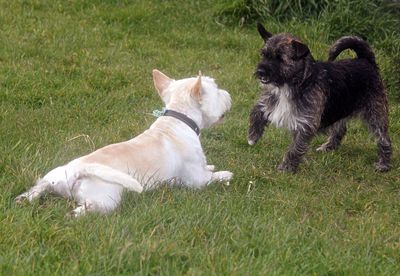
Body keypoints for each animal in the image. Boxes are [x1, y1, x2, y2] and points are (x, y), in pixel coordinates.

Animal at [15, 70, 233, 217]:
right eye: (217, 90)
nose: (228, 94)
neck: (179, 119)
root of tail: (77, 172)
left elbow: (207, 166)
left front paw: (212, 166)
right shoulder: (196, 180)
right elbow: (212, 177)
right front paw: (224, 174)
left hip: (53, 176)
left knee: (39, 187)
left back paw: (24, 199)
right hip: (105, 199)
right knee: (84, 210)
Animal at [248, 22, 392, 172]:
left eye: (280, 58)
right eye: (263, 55)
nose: (260, 71)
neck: (291, 84)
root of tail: (366, 60)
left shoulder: (306, 124)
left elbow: (295, 148)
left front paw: (286, 167)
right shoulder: (269, 101)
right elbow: (256, 112)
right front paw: (253, 136)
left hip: (375, 114)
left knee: (384, 139)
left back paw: (384, 164)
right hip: (340, 107)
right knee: (340, 129)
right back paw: (328, 147)